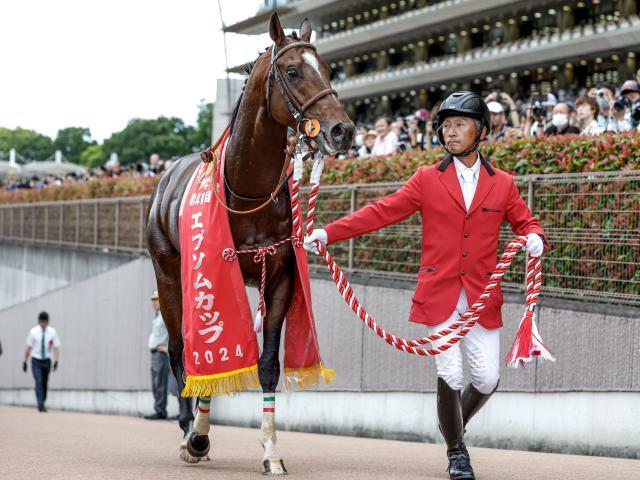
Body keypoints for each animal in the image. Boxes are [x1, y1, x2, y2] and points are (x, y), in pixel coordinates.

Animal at [146, 12, 356, 476]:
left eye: (327, 68)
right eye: (293, 71)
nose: (343, 130)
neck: (248, 192)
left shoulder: (279, 277)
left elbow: (268, 365)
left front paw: (271, 451)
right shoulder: (211, 270)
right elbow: (209, 352)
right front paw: (198, 435)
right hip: (169, 274)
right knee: (178, 349)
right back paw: (188, 431)